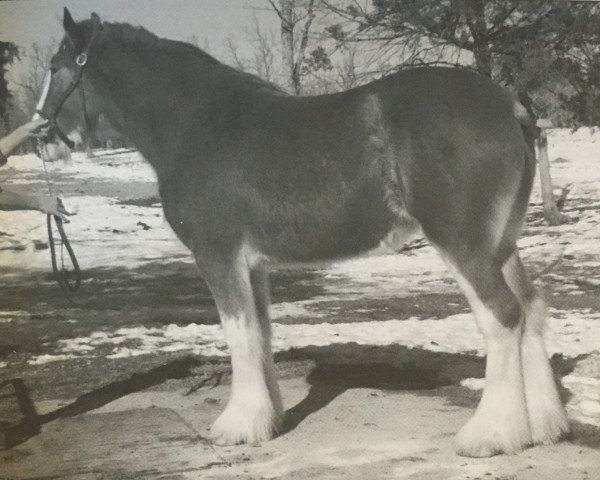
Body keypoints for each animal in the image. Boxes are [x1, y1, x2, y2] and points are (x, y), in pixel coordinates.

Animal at [37, 8, 568, 458]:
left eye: (57, 66)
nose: (42, 134)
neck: (194, 125)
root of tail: (509, 107)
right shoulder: (252, 266)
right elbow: (260, 334)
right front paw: (265, 420)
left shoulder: (217, 256)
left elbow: (237, 333)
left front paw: (235, 427)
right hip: (502, 243)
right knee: (532, 309)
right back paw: (543, 426)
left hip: (463, 243)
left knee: (503, 316)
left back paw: (490, 435)